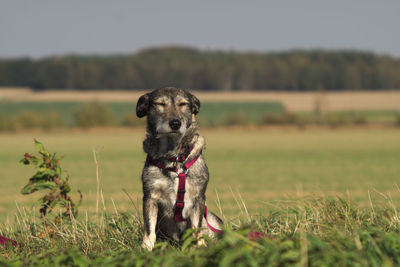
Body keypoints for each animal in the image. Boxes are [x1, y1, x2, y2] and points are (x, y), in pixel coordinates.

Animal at [137, 87, 223, 251]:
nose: (175, 123)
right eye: (160, 104)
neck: (174, 158)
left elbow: (196, 228)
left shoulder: (198, 198)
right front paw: (146, 248)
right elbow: (149, 228)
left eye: (183, 104)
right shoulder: (150, 196)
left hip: (212, 218)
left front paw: (199, 246)